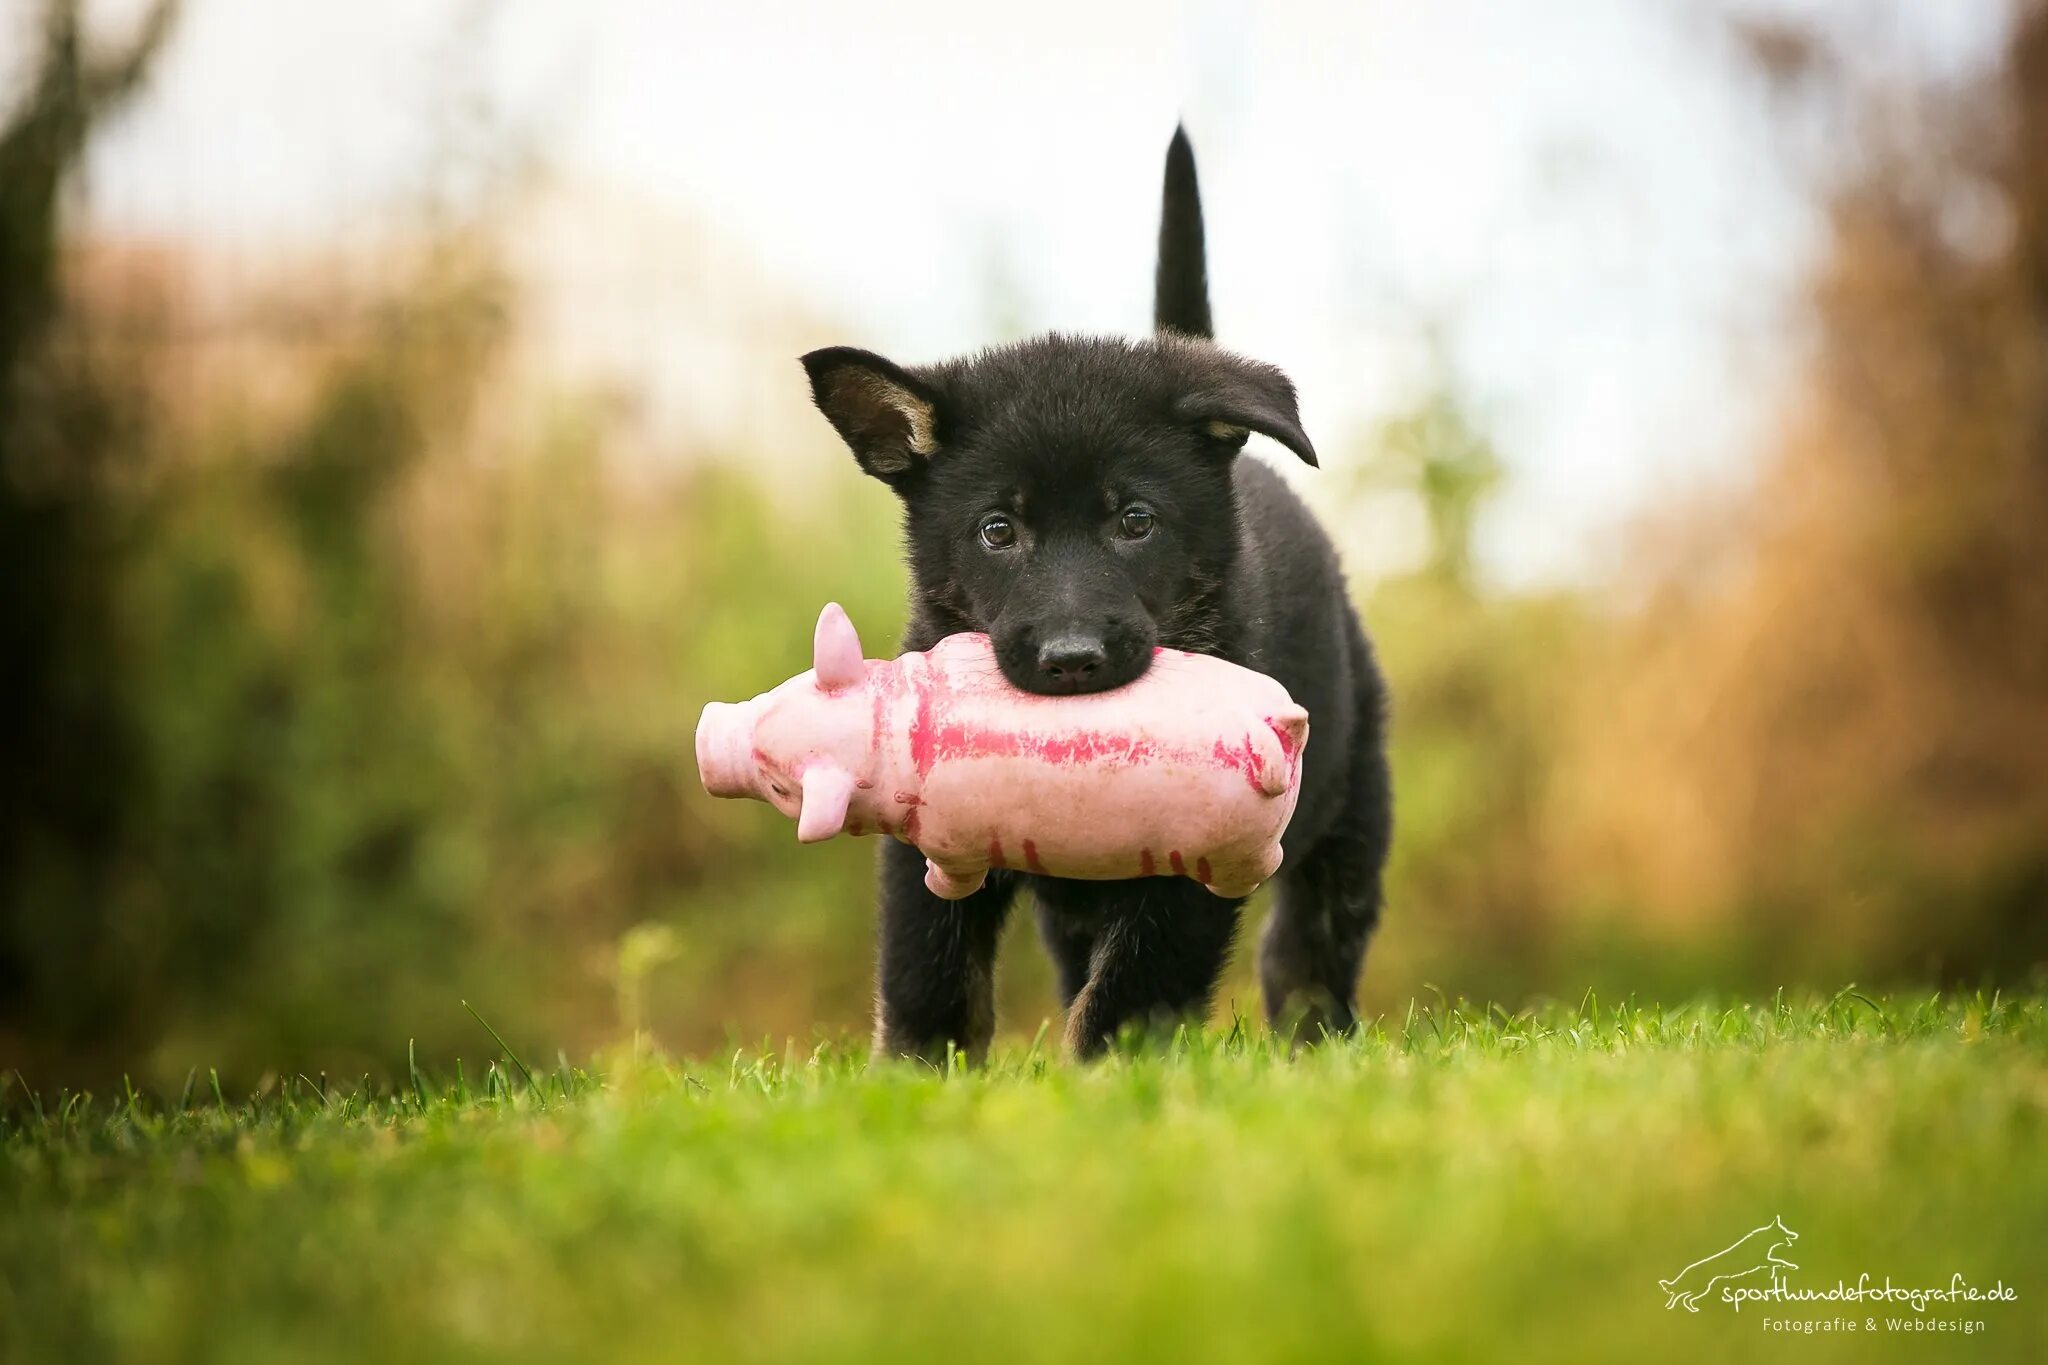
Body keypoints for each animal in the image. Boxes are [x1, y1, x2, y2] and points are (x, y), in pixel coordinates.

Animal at [798, 127, 1392, 1064]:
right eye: (997, 530)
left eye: (1135, 521)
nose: (1071, 659)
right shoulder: (927, 847)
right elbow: (928, 965)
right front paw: (919, 1070)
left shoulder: (1199, 858)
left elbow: (1134, 986)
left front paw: (1112, 1070)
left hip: (1351, 792)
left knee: (1310, 944)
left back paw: (1316, 1042)